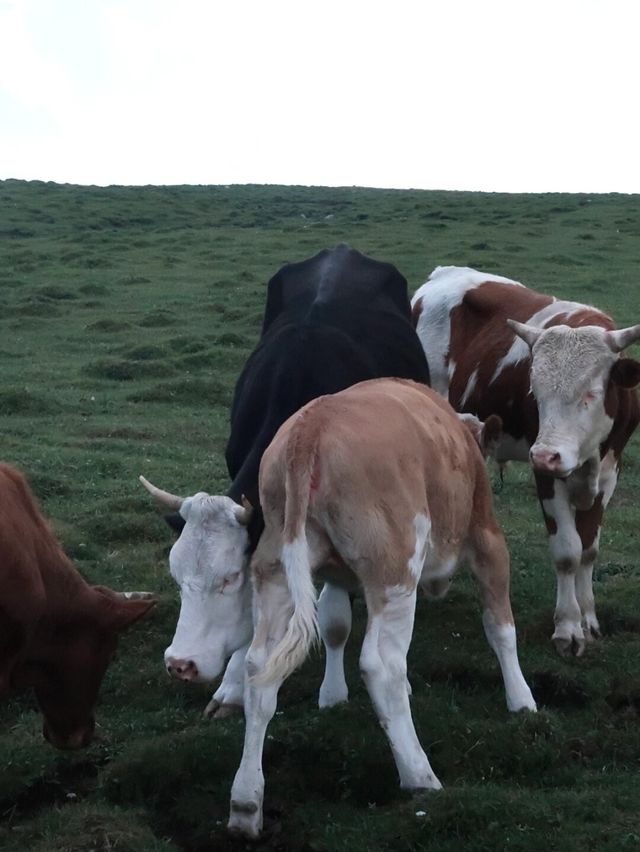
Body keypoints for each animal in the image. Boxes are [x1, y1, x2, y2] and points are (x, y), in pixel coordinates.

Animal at [225, 380, 536, 840]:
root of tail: (310, 428)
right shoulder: (487, 538)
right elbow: (501, 627)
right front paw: (521, 699)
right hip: (395, 567)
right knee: (381, 664)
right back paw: (420, 776)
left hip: (275, 569)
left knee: (259, 666)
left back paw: (246, 802)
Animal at [410, 266, 640, 660]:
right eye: (535, 393)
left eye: (591, 393)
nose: (547, 454)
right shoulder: (546, 473)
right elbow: (567, 551)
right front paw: (568, 627)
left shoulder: (610, 472)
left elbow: (589, 549)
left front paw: (589, 620)